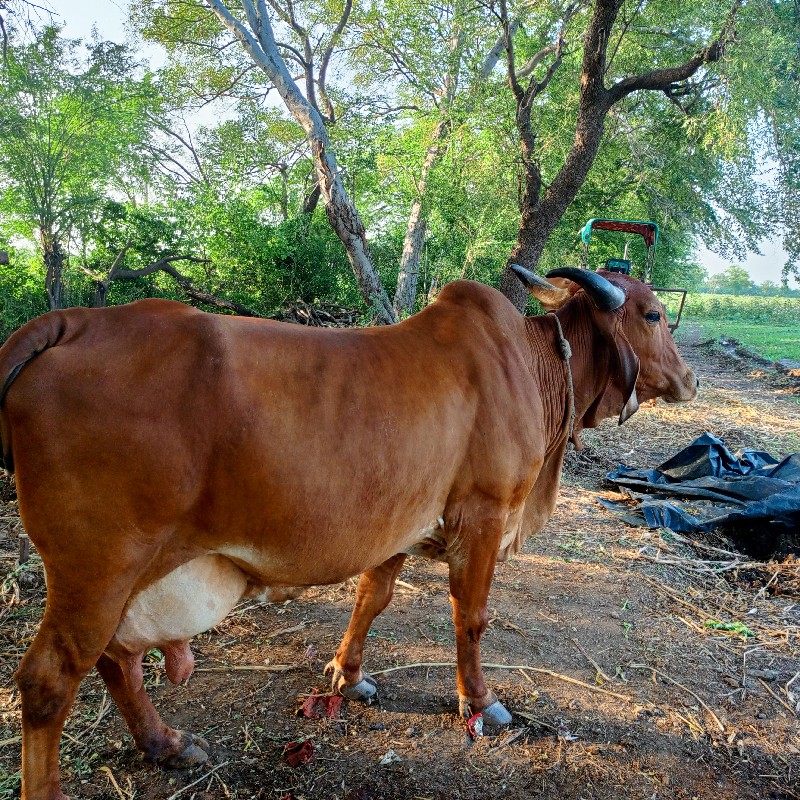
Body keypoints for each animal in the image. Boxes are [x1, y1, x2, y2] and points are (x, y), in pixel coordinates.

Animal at [0, 266, 696, 796]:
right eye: (655, 314)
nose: (690, 379)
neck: (531, 364)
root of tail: (75, 321)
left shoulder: (400, 522)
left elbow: (372, 597)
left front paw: (348, 674)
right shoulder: (484, 512)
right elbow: (470, 617)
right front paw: (479, 701)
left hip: (125, 576)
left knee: (117, 657)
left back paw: (165, 743)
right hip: (98, 567)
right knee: (50, 679)